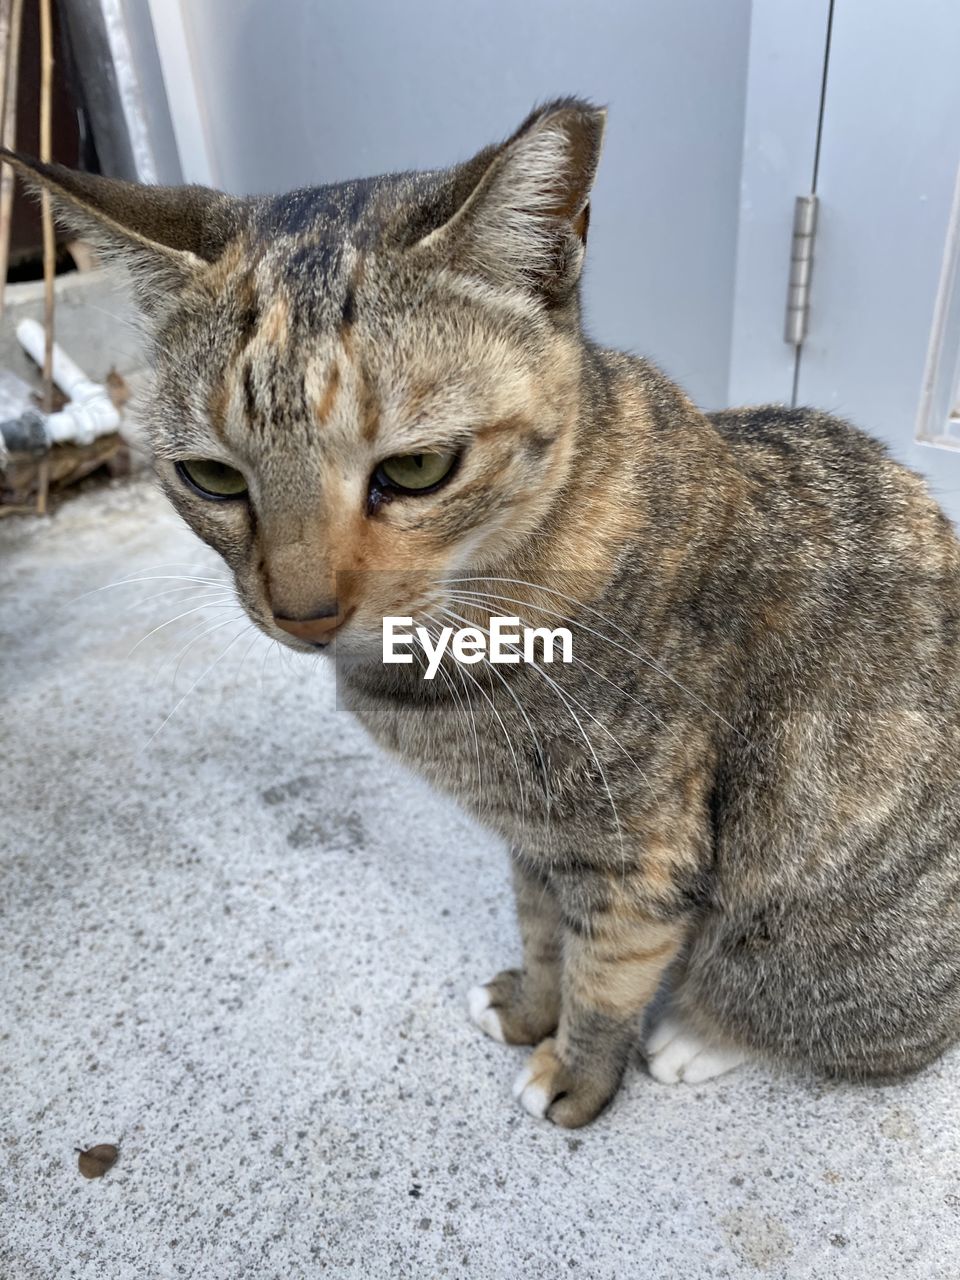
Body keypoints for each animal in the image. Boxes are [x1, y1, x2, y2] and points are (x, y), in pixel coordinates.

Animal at [13, 94, 960, 1126]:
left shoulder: (636, 854)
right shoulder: (533, 841)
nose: (304, 614)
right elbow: (544, 935)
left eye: (418, 468)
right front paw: (531, 1008)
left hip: (825, 943)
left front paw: (576, 1075)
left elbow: (607, 974)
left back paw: (700, 1035)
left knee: (831, 1016)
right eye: (212, 479)